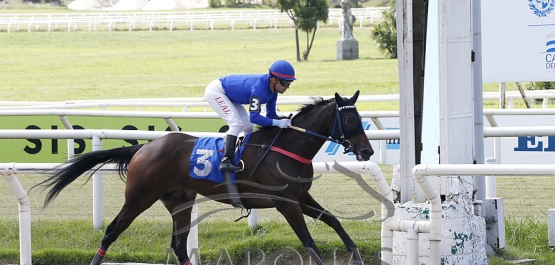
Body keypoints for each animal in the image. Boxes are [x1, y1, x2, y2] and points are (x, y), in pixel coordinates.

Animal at [33, 91, 374, 264]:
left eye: (359, 118)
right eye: (349, 119)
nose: (367, 150)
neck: (287, 149)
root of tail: (144, 148)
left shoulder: (300, 196)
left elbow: (333, 220)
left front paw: (356, 256)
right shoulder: (285, 202)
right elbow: (309, 242)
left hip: (179, 201)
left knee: (179, 244)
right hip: (139, 197)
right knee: (112, 231)